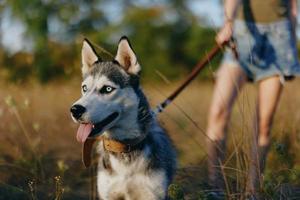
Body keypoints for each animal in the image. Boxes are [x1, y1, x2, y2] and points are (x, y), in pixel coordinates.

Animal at [70, 36, 177, 199]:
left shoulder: (152, 194)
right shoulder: (108, 194)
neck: (124, 147)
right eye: (84, 88)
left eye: (107, 89)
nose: (75, 110)